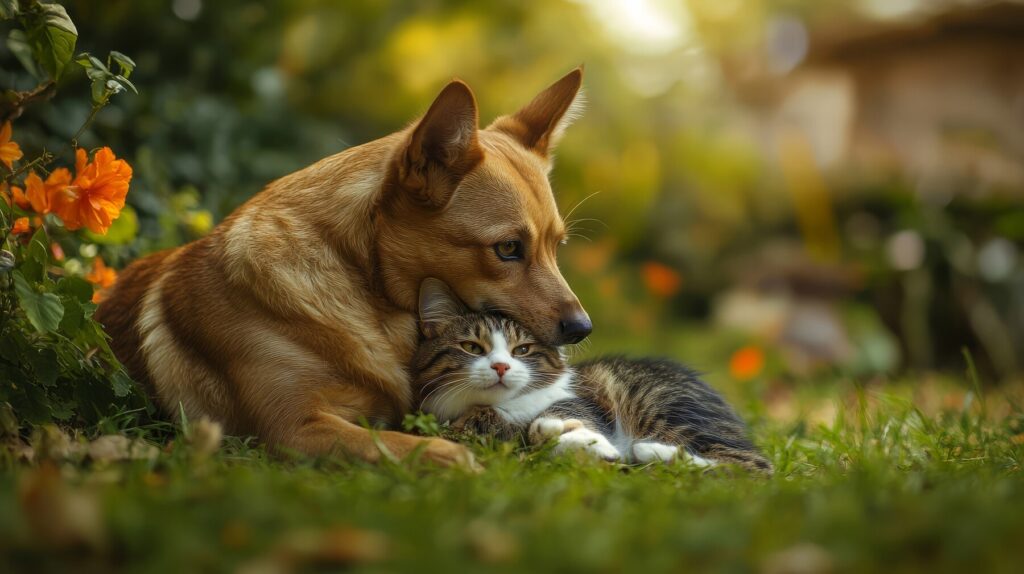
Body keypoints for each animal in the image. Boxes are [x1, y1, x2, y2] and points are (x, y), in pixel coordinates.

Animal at [97, 67, 593, 466]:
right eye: (508, 248)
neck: (365, 293)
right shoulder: (293, 428)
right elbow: (405, 445)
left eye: (557, 246)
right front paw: (461, 459)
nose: (582, 329)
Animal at [411, 276, 770, 470]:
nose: (501, 366)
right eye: (472, 347)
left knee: (753, 467)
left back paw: (650, 450)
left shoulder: (583, 397)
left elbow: (558, 417)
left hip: (663, 406)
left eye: (522, 350)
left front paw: (580, 437)